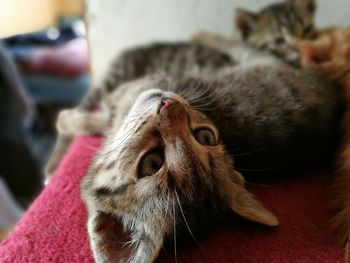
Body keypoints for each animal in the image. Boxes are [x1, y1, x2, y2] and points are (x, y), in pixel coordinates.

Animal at [47, 41, 340, 263]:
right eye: (206, 136)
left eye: (151, 163)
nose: (169, 105)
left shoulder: (133, 89)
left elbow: (100, 114)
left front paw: (68, 119)